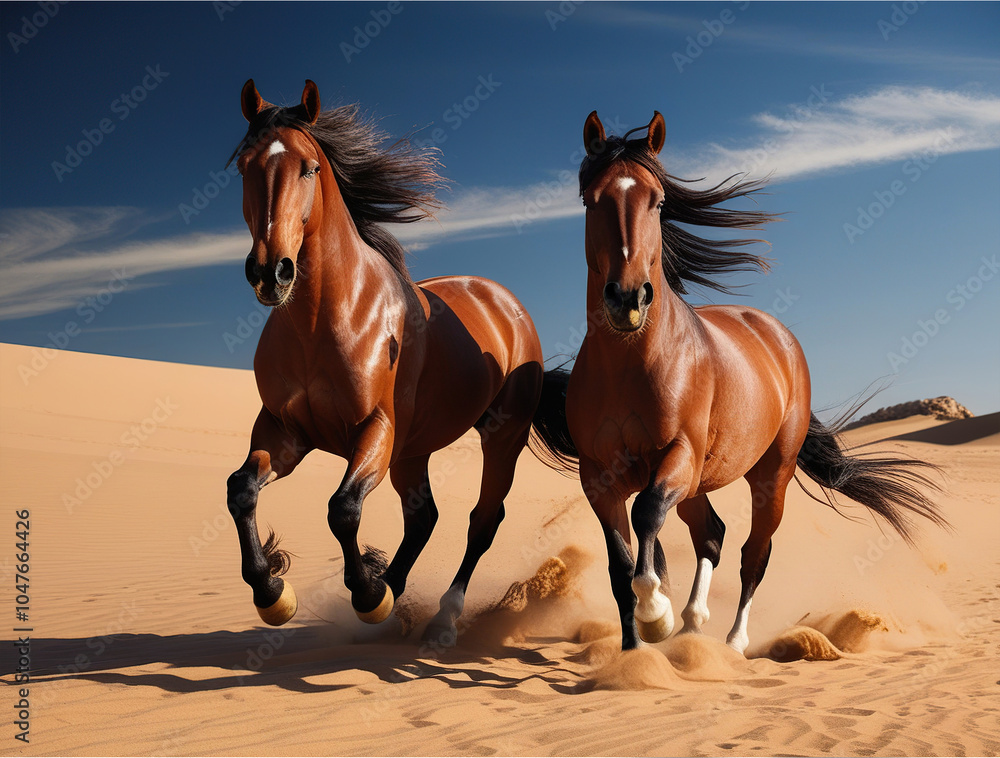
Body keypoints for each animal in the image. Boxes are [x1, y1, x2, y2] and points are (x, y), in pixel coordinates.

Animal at [224, 79, 569, 642]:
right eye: (243, 167)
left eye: (309, 167)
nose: (270, 272)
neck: (323, 321)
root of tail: (505, 301)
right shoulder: (283, 431)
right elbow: (242, 491)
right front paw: (273, 592)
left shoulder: (375, 429)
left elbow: (342, 509)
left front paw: (366, 593)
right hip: (413, 450)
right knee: (424, 516)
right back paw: (396, 589)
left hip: (501, 437)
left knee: (482, 521)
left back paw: (442, 616)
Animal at [554, 110, 947, 654]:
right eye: (591, 200)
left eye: (658, 201)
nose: (628, 299)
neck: (629, 365)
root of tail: (779, 336)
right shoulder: (598, 477)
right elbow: (619, 566)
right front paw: (635, 651)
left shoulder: (678, 455)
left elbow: (647, 517)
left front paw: (656, 614)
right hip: (698, 482)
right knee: (711, 533)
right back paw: (693, 621)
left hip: (769, 474)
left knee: (754, 552)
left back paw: (733, 640)